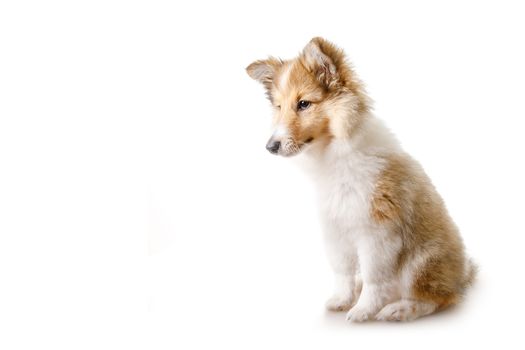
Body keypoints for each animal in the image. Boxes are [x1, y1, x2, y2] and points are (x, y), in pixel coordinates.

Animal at [246, 37, 474, 322]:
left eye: (304, 104)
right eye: (278, 107)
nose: (270, 147)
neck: (334, 153)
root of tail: (463, 276)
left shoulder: (376, 232)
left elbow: (374, 277)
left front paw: (363, 311)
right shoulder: (336, 229)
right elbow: (342, 271)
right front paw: (343, 299)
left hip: (421, 261)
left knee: (438, 298)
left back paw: (398, 309)